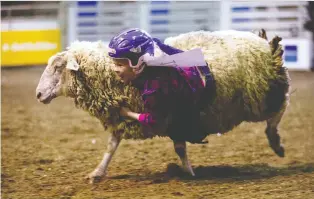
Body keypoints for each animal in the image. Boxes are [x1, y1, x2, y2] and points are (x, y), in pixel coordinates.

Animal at [36, 29, 290, 183]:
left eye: (58, 67)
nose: (38, 94)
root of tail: (263, 43)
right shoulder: (151, 120)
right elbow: (111, 146)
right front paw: (97, 172)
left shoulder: (166, 112)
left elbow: (179, 147)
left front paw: (189, 173)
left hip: (260, 95)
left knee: (281, 106)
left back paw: (275, 141)